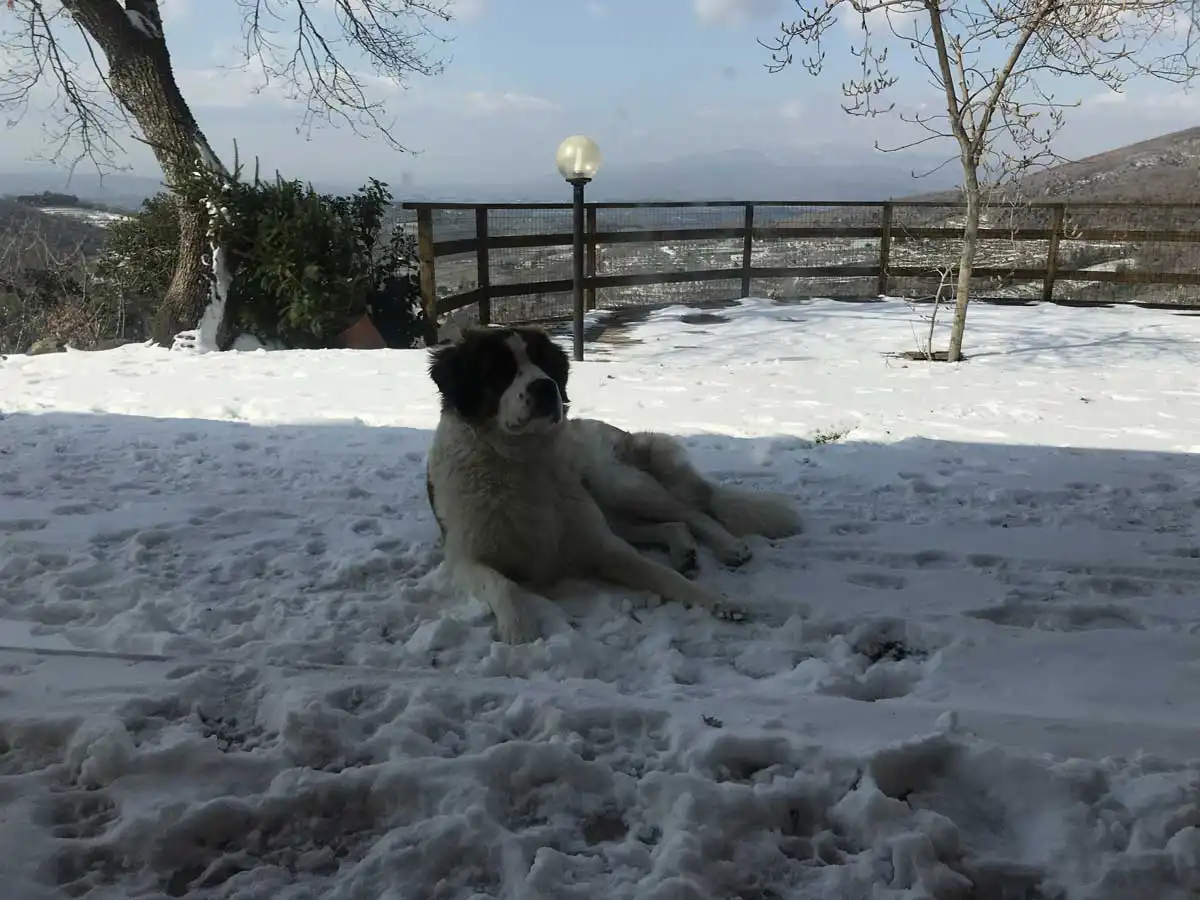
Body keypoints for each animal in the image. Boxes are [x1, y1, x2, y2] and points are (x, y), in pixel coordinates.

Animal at [425, 325, 802, 644]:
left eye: (543, 363)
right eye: (499, 371)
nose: (545, 386)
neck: (520, 461)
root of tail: (619, 431)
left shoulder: (602, 546)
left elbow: (662, 576)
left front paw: (719, 601)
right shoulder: (463, 558)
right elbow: (502, 584)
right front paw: (519, 629)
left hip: (620, 484)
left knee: (692, 512)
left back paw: (727, 546)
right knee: (671, 523)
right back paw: (684, 551)